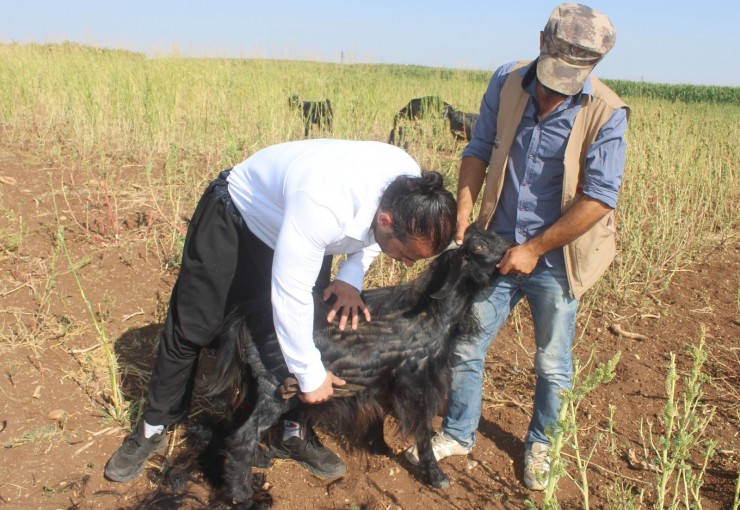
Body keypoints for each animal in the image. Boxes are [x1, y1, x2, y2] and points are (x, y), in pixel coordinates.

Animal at [208, 226, 516, 506]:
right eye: (478, 247)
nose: (513, 246)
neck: (433, 316)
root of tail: (247, 318)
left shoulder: (380, 382)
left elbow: (376, 414)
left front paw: (378, 447)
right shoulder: (417, 385)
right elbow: (423, 433)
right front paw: (436, 476)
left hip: (257, 385)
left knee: (235, 423)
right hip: (276, 388)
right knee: (243, 437)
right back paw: (242, 495)